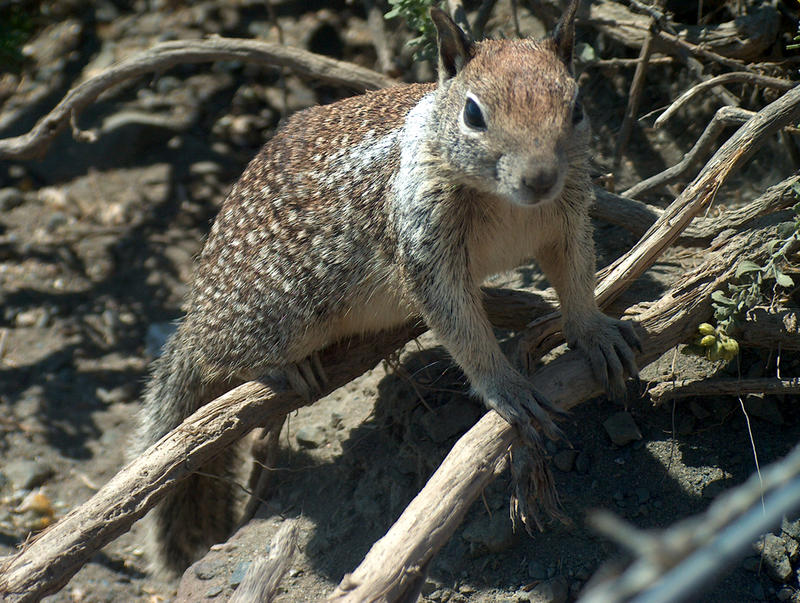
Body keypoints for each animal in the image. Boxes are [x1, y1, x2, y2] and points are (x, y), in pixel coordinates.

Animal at [136, 0, 636, 576]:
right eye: (473, 114)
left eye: (576, 107)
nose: (538, 178)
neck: (509, 202)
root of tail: (197, 311)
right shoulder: (424, 245)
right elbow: (459, 325)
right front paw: (506, 388)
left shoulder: (566, 218)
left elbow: (575, 277)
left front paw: (596, 332)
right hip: (283, 313)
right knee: (219, 357)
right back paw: (281, 366)